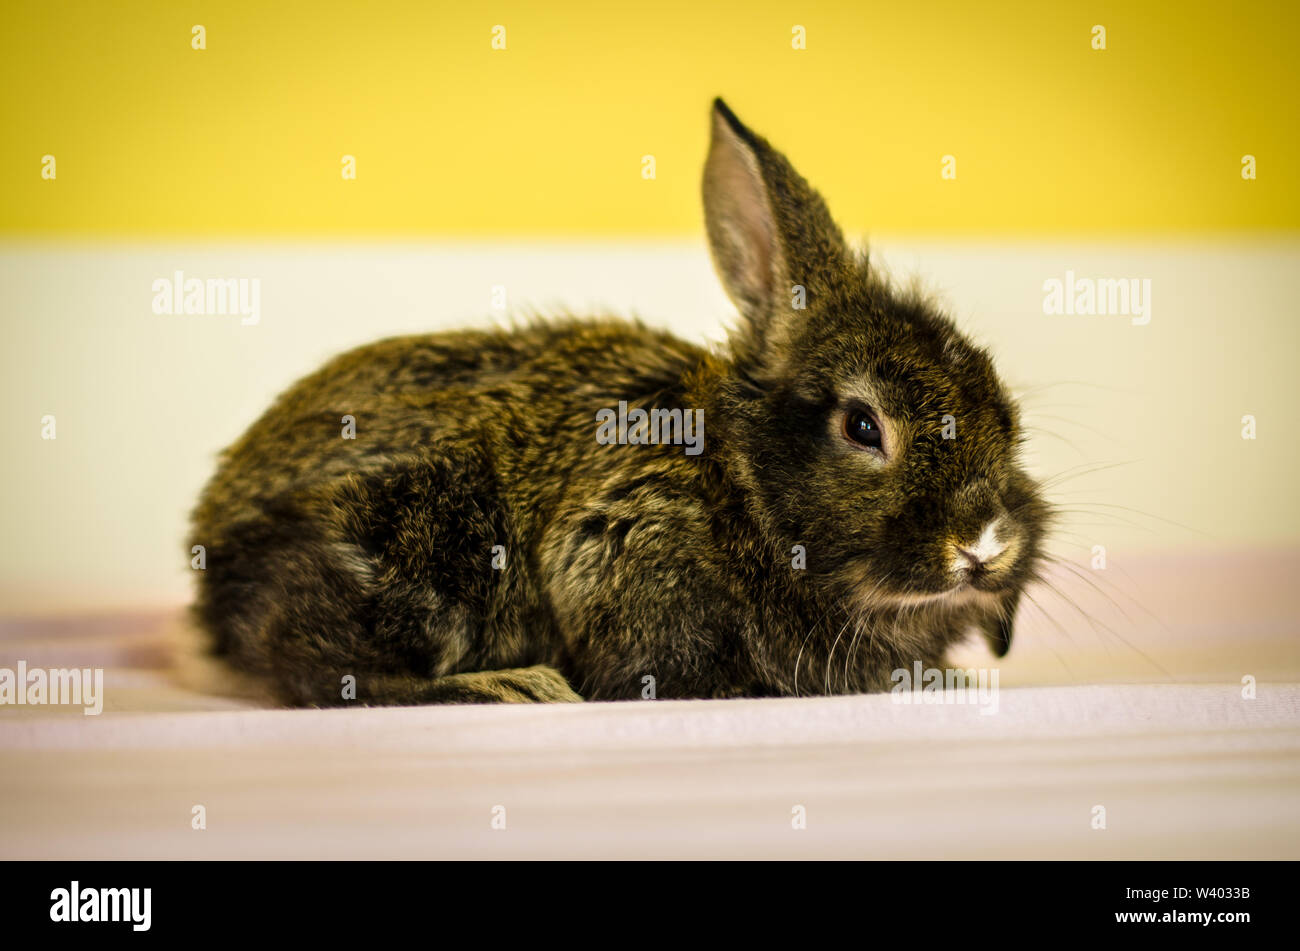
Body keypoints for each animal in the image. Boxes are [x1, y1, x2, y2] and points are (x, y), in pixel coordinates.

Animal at [188, 98, 1050, 706]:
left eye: (1006, 418)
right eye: (863, 426)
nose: (983, 541)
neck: (737, 482)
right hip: (422, 543)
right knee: (322, 671)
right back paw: (506, 686)